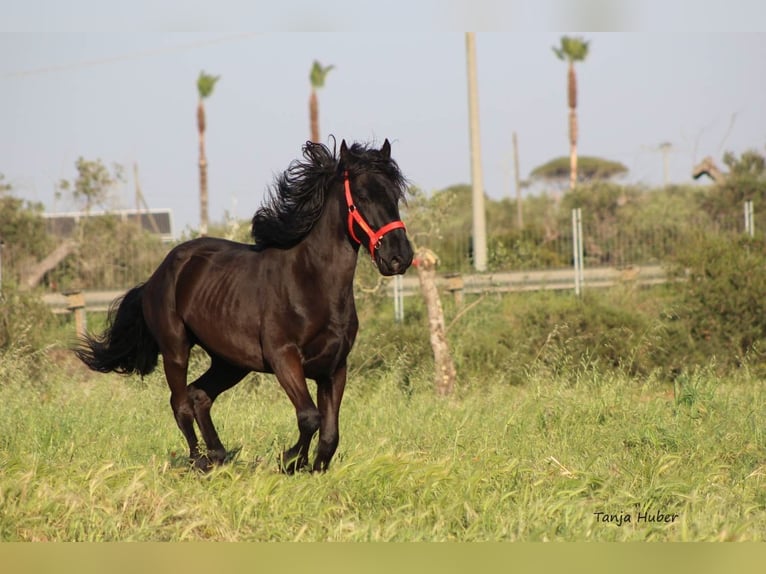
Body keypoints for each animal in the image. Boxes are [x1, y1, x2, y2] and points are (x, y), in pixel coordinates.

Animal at [76, 140, 414, 472]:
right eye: (362, 196)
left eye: (395, 194)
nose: (399, 256)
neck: (311, 283)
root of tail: (157, 275)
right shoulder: (284, 358)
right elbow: (310, 417)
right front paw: (289, 460)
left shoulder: (334, 367)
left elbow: (330, 434)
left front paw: (312, 468)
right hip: (176, 350)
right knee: (181, 403)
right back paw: (200, 462)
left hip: (230, 361)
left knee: (200, 395)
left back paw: (219, 456)